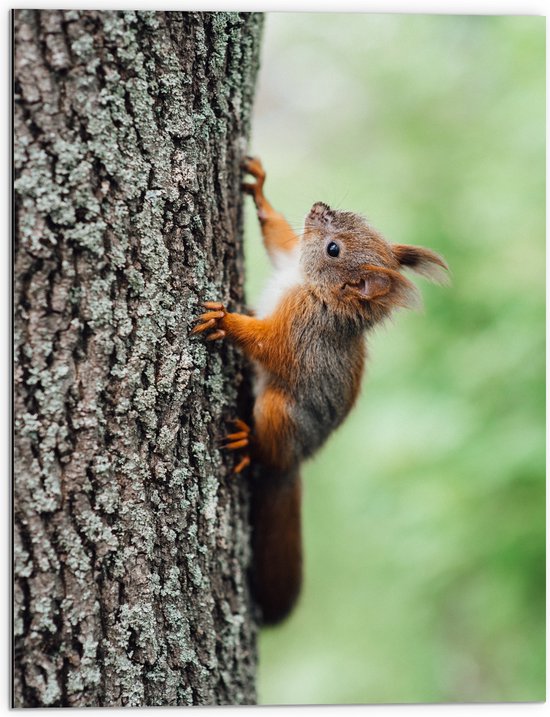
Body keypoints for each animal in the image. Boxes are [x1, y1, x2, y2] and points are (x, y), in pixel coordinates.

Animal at [193, 155, 448, 620]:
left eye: (334, 250)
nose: (318, 207)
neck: (310, 288)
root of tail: (295, 461)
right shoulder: (287, 261)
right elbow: (281, 240)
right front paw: (260, 188)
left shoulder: (299, 332)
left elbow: (267, 344)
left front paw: (226, 321)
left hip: (278, 411)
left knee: (267, 447)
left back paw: (249, 443)